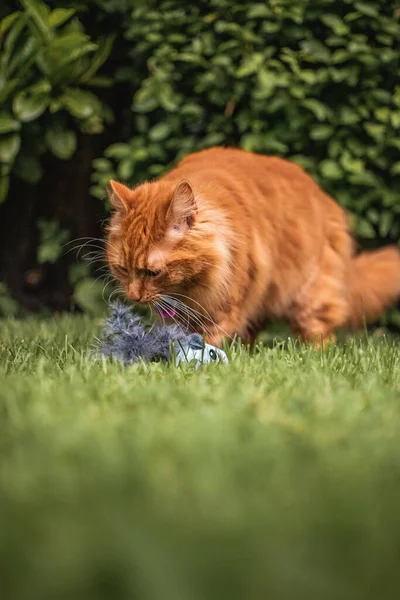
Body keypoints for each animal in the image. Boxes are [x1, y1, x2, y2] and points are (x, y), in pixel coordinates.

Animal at [105, 148, 400, 346]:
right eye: (123, 269)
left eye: (153, 273)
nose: (133, 296)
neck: (188, 289)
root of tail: (324, 196)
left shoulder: (222, 308)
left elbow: (207, 341)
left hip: (310, 294)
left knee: (319, 334)